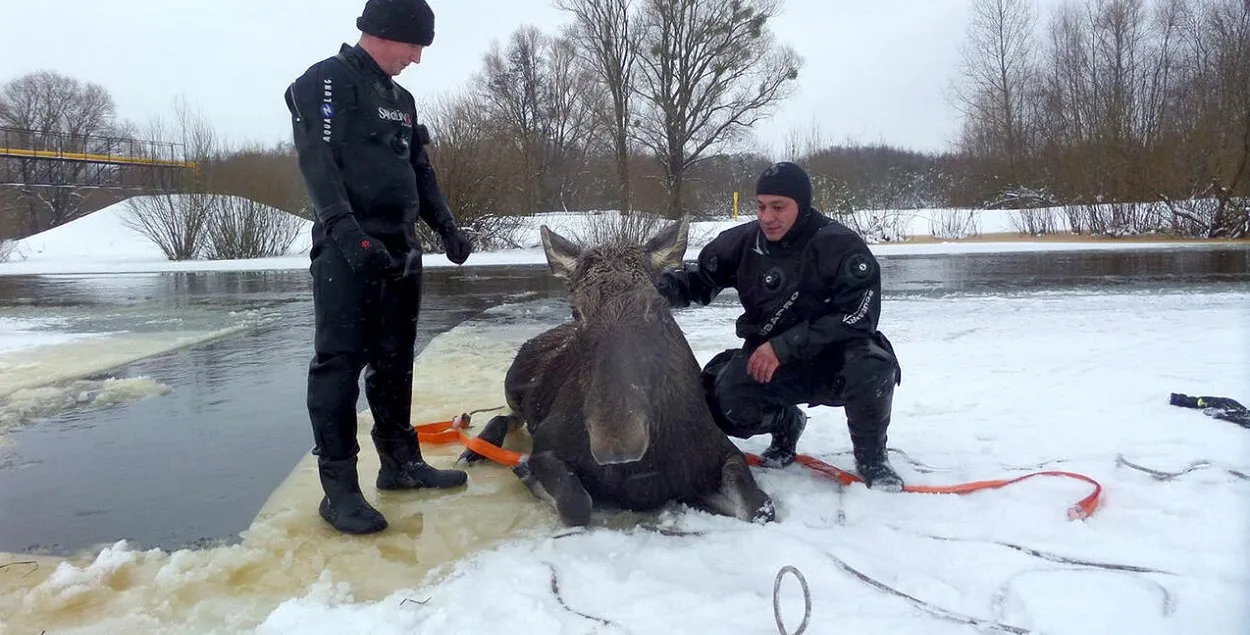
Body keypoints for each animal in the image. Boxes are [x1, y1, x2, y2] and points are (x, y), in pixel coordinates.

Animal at [460, 217, 770, 525]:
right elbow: (575, 503)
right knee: (504, 417)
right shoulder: (546, 443)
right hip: (513, 387)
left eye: (655, 304)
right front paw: (527, 472)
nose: (617, 442)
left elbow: (758, 507)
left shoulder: (719, 452)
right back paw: (475, 449)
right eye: (576, 311)